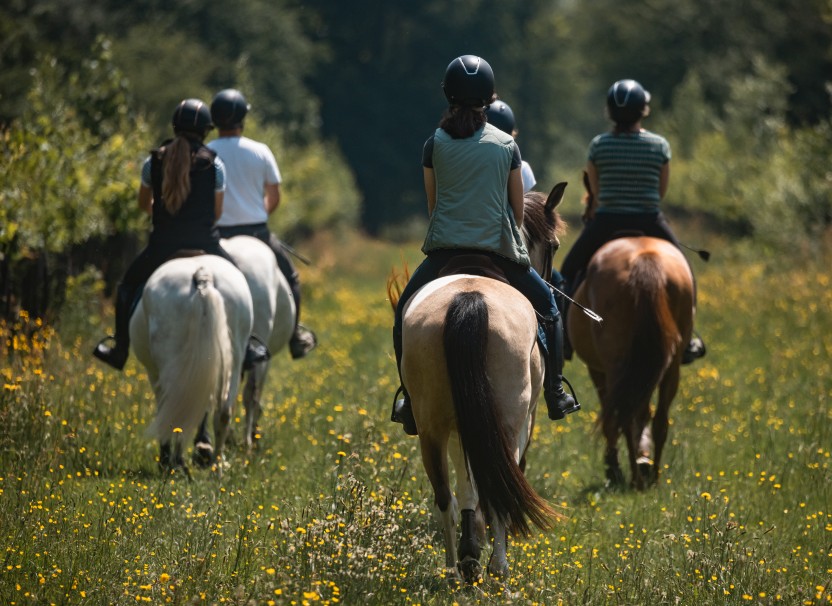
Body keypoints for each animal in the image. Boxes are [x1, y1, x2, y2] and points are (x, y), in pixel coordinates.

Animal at [129, 255, 254, 475]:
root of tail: (203, 274)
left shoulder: (155, 374)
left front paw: (167, 459)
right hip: (234, 359)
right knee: (222, 413)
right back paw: (215, 470)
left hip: (172, 365)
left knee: (179, 410)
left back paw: (176, 464)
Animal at [191, 235, 295, 462]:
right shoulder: (263, 357)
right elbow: (253, 395)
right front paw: (251, 437)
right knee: (250, 394)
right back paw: (247, 442)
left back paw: (205, 445)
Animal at [387, 183, 569, 583]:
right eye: (553, 245)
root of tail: (469, 300)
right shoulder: (524, 422)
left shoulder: (461, 422)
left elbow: (466, 482)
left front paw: (472, 547)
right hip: (508, 421)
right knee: (499, 486)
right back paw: (497, 569)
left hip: (431, 425)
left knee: (445, 494)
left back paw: (455, 570)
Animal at [567, 173, 695, 489]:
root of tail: (644, 260)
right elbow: (643, 411)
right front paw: (642, 456)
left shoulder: (597, 369)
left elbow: (613, 415)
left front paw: (619, 463)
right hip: (670, 363)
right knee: (659, 417)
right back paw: (653, 474)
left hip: (615, 364)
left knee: (622, 415)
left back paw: (628, 474)